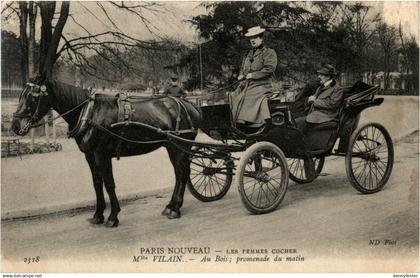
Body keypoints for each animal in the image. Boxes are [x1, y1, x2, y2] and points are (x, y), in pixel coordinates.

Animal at [11, 77, 202, 227]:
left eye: (32, 96)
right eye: (21, 94)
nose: (15, 125)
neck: (89, 113)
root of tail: (191, 105)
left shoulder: (101, 154)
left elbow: (109, 183)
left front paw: (112, 216)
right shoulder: (90, 155)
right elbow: (97, 183)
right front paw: (98, 215)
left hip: (179, 146)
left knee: (182, 173)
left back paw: (175, 208)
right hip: (173, 147)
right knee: (181, 173)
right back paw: (171, 206)